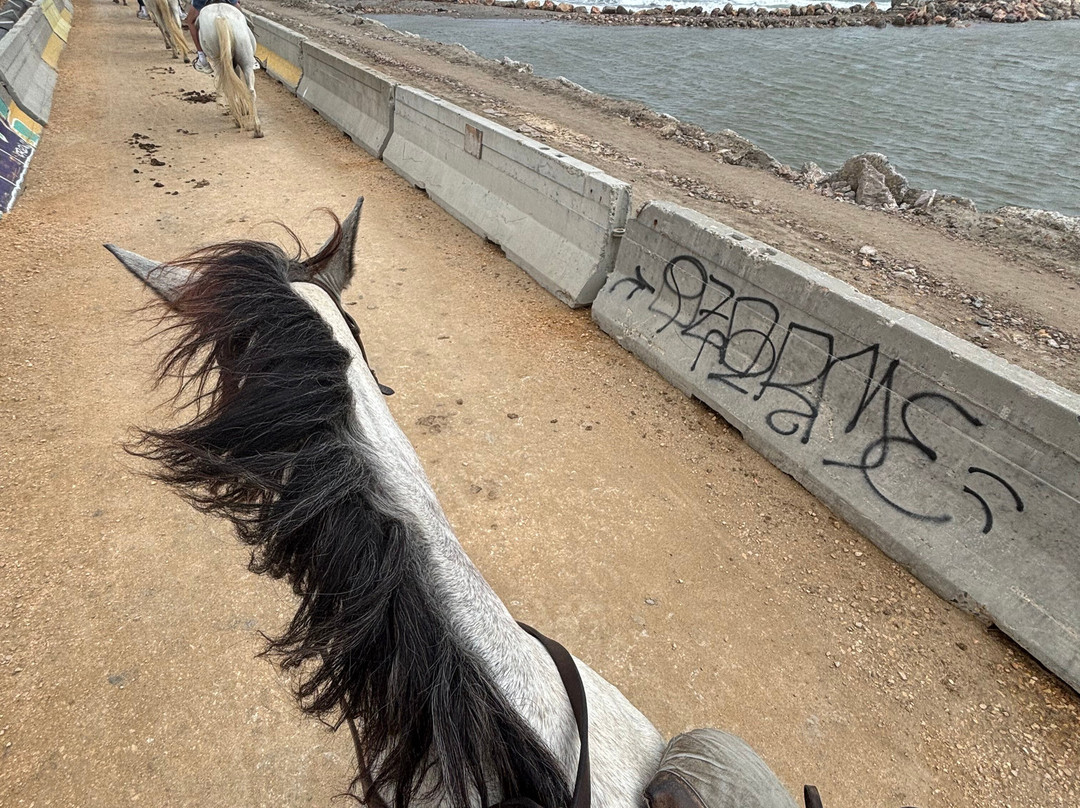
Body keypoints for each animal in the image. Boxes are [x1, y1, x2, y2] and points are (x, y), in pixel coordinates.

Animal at [196, 3, 263, 138]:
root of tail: (221, 16)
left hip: (219, 61)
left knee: (228, 88)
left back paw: (238, 121)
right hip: (245, 59)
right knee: (250, 91)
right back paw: (257, 128)